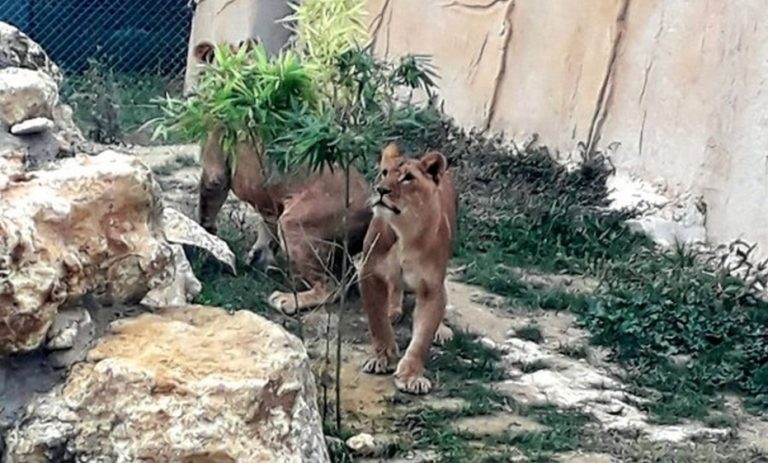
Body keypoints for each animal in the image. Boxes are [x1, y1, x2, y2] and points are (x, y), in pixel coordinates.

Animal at [191, 40, 372, 316]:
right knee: (347, 277)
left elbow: (206, 210)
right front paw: (257, 258)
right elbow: (266, 226)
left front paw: (204, 251)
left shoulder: (216, 164)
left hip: (296, 224)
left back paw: (286, 300)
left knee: (333, 285)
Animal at [358, 144, 460, 396]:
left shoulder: (431, 289)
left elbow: (422, 338)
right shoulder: (369, 273)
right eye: (384, 173)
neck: (404, 230)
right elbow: (377, 322)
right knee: (394, 285)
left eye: (407, 178)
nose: (381, 190)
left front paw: (411, 376)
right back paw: (392, 309)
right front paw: (382, 358)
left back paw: (441, 330)